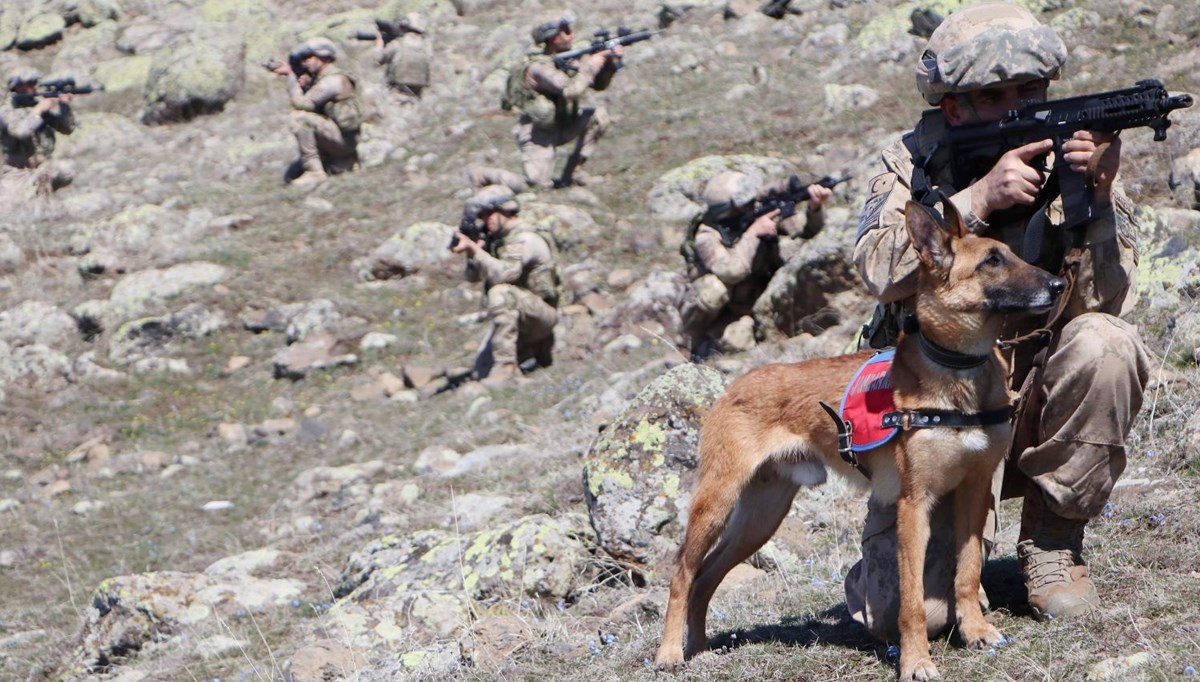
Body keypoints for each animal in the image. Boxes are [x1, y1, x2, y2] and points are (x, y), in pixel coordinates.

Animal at [657, 199, 1070, 677]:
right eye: (992, 261)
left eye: (1012, 254)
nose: (1059, 284)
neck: (958, 370)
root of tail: (733, 384)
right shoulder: (914, 505)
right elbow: (912, 601)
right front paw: (916, 661)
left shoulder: (974, 492)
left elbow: (966, 573)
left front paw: (975, 631)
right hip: (717, 504)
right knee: (682, 574)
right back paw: (669, 653)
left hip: (760, 518)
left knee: (706, 579)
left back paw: (700, 649)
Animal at [854, 2, 1152, 638]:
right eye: (997, 97)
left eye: (1031, 89)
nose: (1054, 286)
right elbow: (878, 252)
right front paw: (1001, 185)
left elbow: (1102, 301)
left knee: (1096, 352)